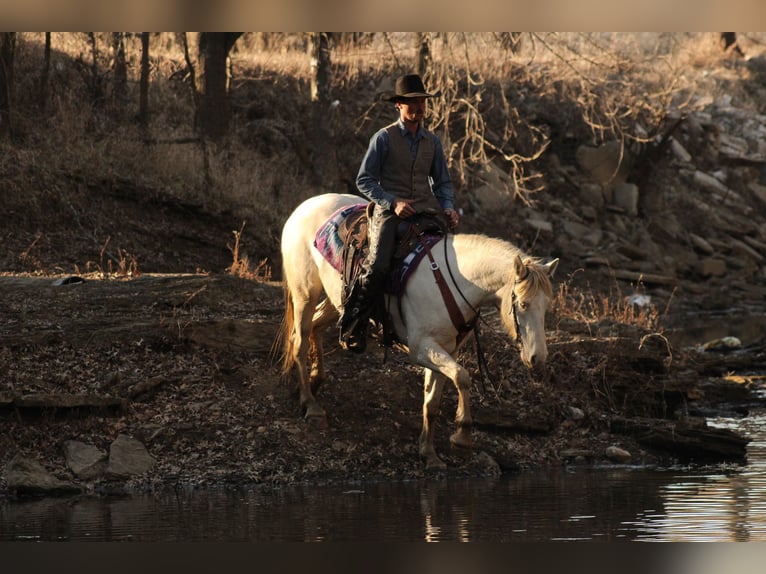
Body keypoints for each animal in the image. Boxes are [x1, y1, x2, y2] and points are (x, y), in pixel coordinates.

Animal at [276, 193, 559, 469]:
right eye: (523, 304)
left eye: (547, 306)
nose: (538, 358)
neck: (452, 280)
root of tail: (304, 206)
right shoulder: (422, 348)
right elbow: (463, 377)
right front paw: (462, 436)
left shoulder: (445, 350)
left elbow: (432, 402)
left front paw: (429, 454)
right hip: (305, 293)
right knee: (300, 340)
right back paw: (311, 405)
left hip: (339, 301)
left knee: (316, 327)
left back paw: (315, 382)